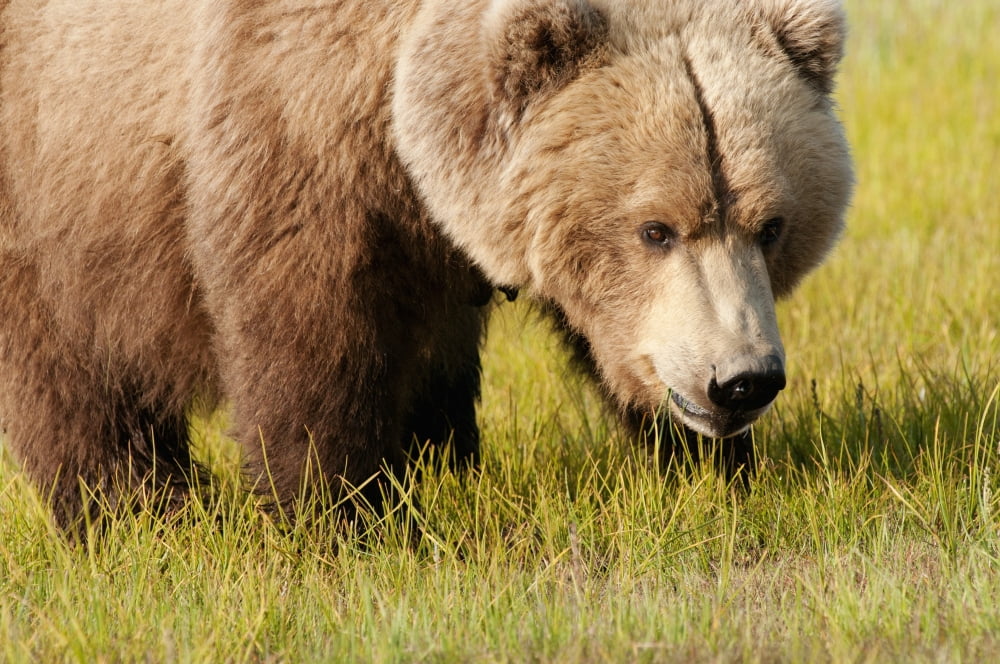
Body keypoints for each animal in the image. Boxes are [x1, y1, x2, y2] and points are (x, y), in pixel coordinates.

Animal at [0, 0, 853, 529]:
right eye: (655, 229)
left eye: (771, 225)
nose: (740, 382)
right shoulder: (294, 123)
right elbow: (310, 334)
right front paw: (345, 514)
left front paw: (716, 473)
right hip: (55, 169)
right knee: (71, 372)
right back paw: (139, 515)